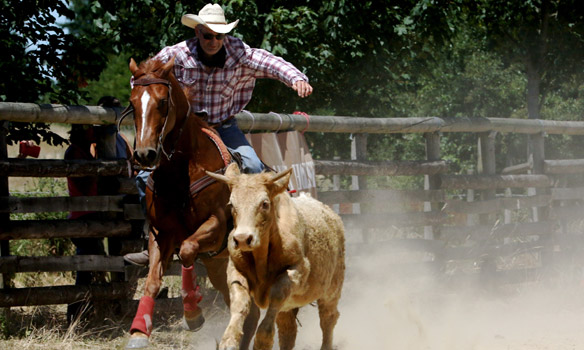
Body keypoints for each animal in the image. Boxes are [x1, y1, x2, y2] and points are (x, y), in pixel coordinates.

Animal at [126, 57, 260, 348]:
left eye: (162, 101)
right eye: (132, 103)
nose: (144, 154)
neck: (182, 172)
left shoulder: (217, 226)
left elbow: (187, 249)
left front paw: (193, 314)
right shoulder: (161, 233)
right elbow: (152, 281)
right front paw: (138, 332)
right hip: (219, 268)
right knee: (247, 308)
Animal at [208, 164, 344, 350]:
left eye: (264, 203)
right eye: (231, 204)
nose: (242, 239)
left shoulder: (297, 270)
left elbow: (276, 298)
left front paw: (261, 342)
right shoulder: (235, 271)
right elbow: (240, 303)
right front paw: (229, 341)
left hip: (332, 289)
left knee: (328, 318)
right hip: (289, 307)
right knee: (288, 330)